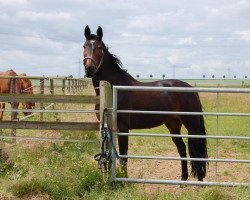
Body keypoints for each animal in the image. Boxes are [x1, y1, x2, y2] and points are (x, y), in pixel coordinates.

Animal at [83, 25, 208, 181]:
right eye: (84, 46)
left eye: (99, 47)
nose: (89, 69)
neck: (113, 88)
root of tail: (192, 90)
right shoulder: (106, 127)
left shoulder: (123, 128)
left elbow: (123, 154)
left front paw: (124, 178)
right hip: (173, 124)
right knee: (182, 148)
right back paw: (182, 180)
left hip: (192, 125)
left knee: (198, 150)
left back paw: (199, 181)